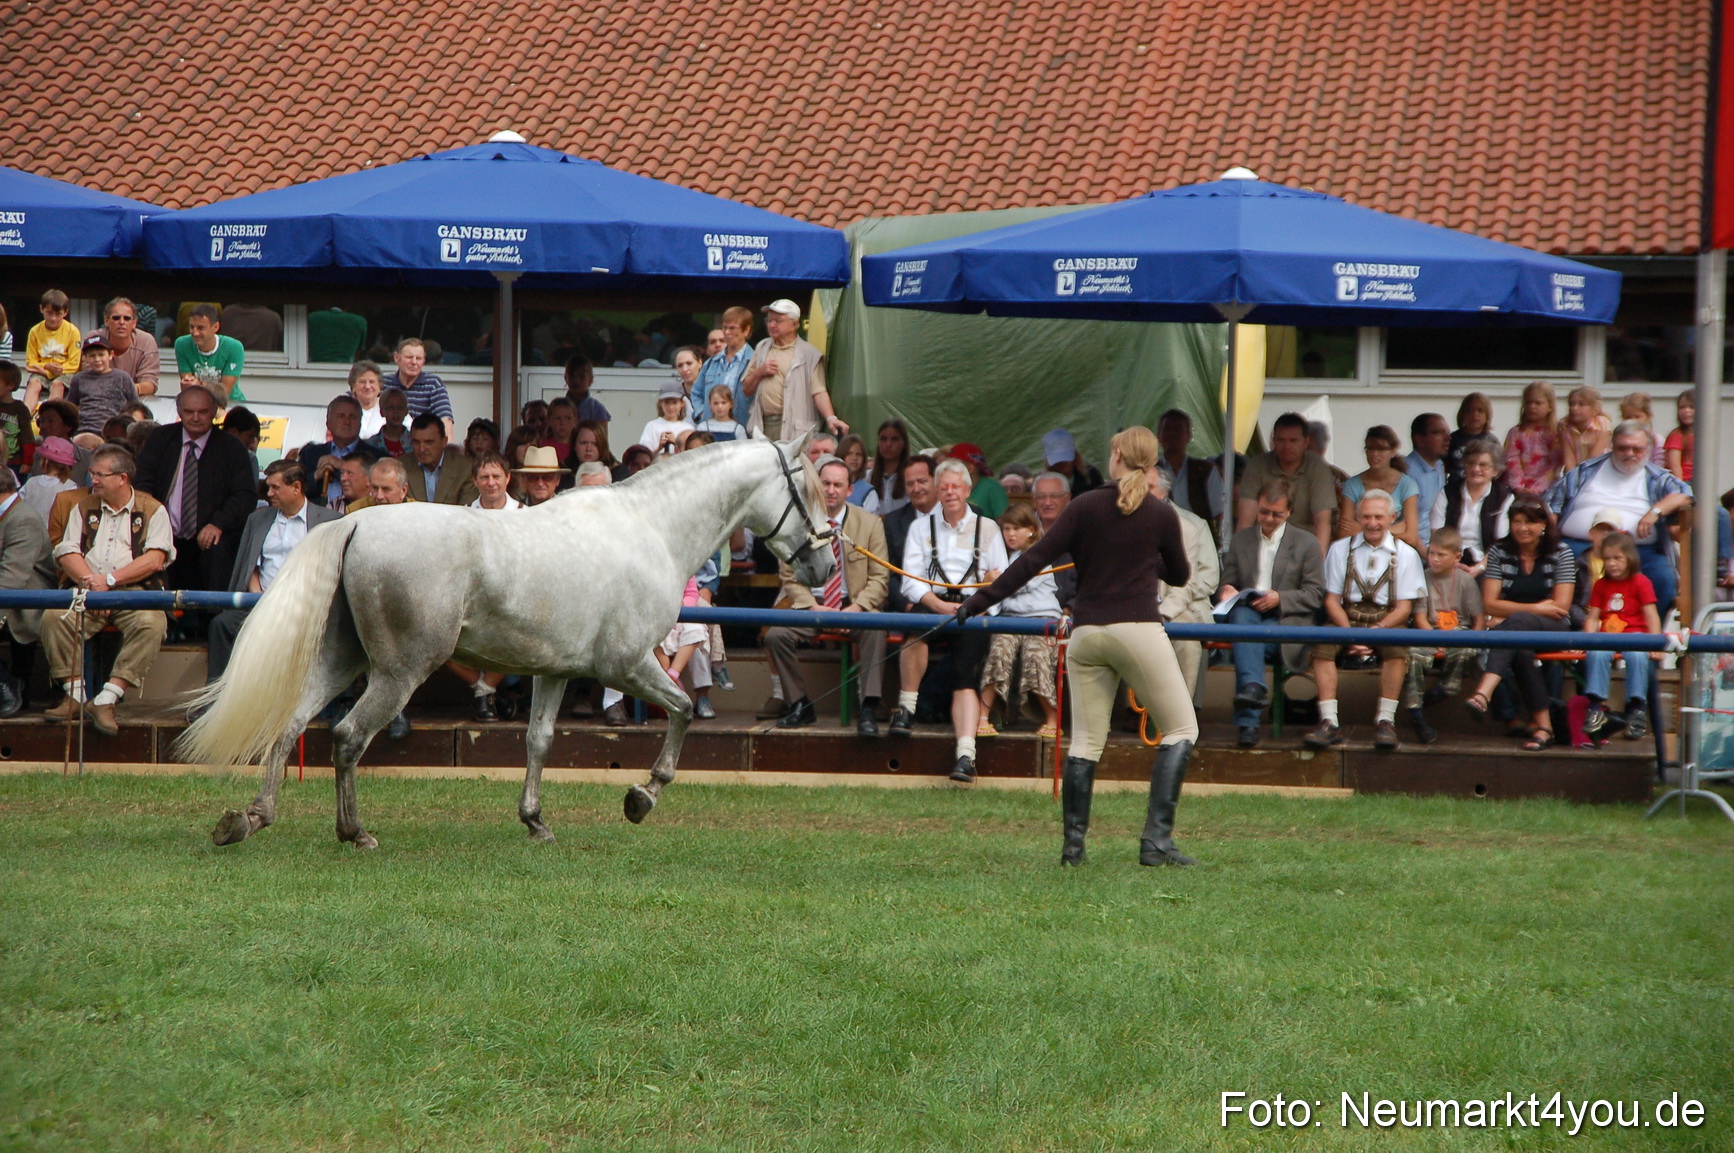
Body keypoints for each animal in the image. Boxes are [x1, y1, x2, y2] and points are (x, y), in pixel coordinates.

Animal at [178, 434, 835, 849]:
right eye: (808, 489)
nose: (825, 564)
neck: (650, 528)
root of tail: (357, 520)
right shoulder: (625, 666)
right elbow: (679, 711)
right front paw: (641, 798)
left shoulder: (555, 671)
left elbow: (539, 742)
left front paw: (535, 821)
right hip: (398, 672)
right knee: (346, 737)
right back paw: (353, 832)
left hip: (342, 660)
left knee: (289, 726)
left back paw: (249, 819)